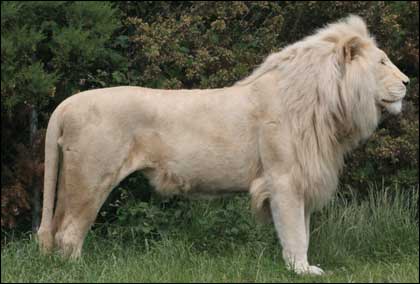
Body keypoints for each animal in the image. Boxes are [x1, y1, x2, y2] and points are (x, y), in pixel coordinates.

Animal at [37, 16, 408, 276]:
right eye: (382, 62)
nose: (408, 81)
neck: (326, 107)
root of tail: (67, 104)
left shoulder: (302, 180)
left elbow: (303, 229)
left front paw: (304, 267)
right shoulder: (283, 179)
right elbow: (294, 232)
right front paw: (301, 272)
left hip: (70, 182)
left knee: (55, 230)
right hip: (91, 179)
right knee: (68, 234)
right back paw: (77, 271)